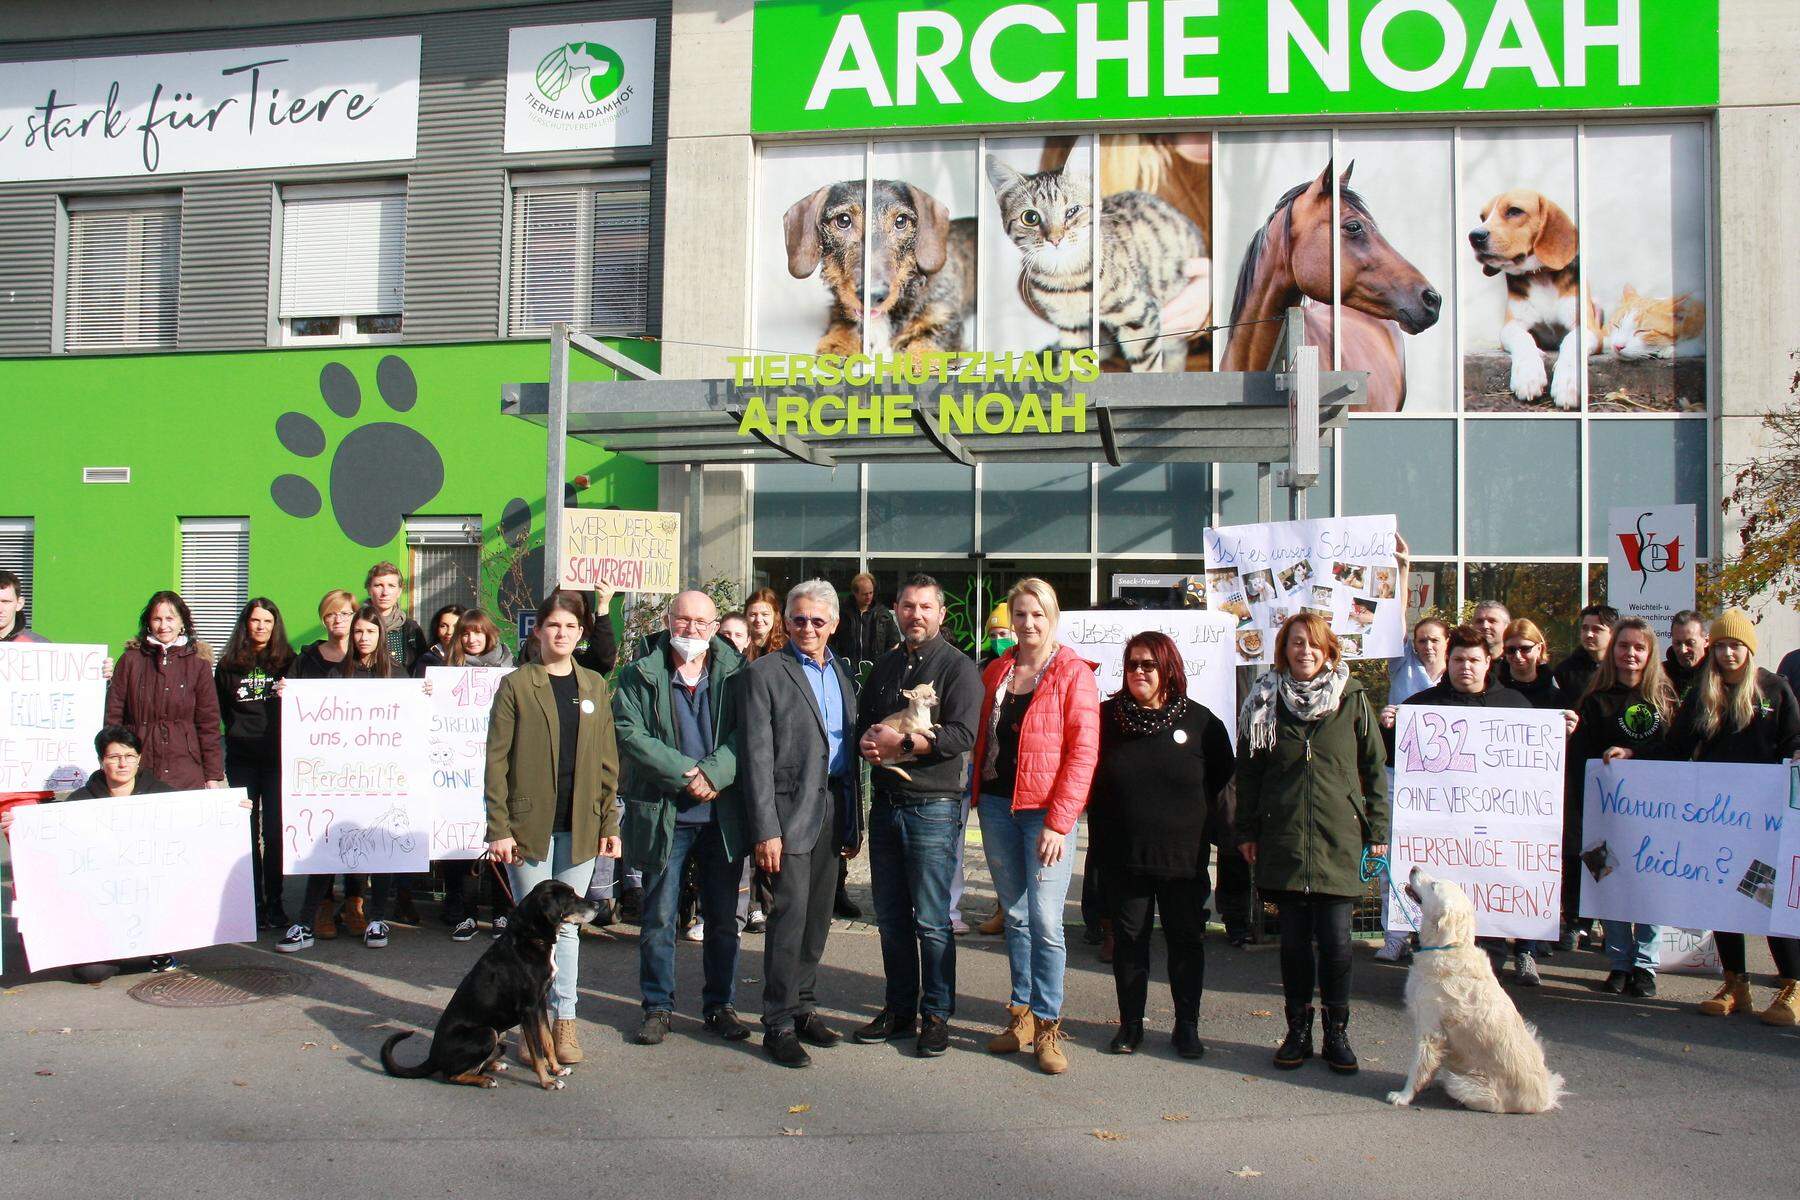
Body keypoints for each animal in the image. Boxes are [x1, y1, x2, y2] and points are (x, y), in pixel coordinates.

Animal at [383, 881, 601, 1086]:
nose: (597, 905)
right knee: (451, 1075)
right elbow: (537, 1051)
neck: (530, 938)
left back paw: (493, 1066)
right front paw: (547, 1082)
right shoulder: (528, 1008)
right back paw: (484, 1080)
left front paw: (556, 1069)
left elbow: (547, 1041)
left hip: (499, 1035)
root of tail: (433, 1057)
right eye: (571, 897)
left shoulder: (539, 1003)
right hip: (487, 1033)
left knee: (478, 1064)